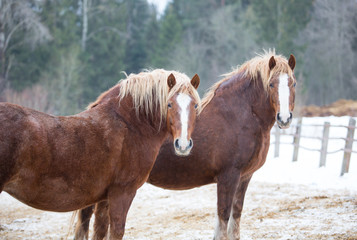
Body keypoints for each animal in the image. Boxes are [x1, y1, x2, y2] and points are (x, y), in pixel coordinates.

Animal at [0, 68, 200, 239]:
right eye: (169, 104)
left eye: (196, 106)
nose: (183, 145)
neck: (129, 124)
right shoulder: (123, 192)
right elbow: (116, 231)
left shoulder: (103, 199)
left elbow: (99, 231)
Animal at [74, 49, 294, 239]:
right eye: (271, 84)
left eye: (292, 83)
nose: (284, 118)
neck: (240, 114)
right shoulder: (229, 176)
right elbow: (223, 218)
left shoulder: (245, 177)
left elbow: (235, 219)